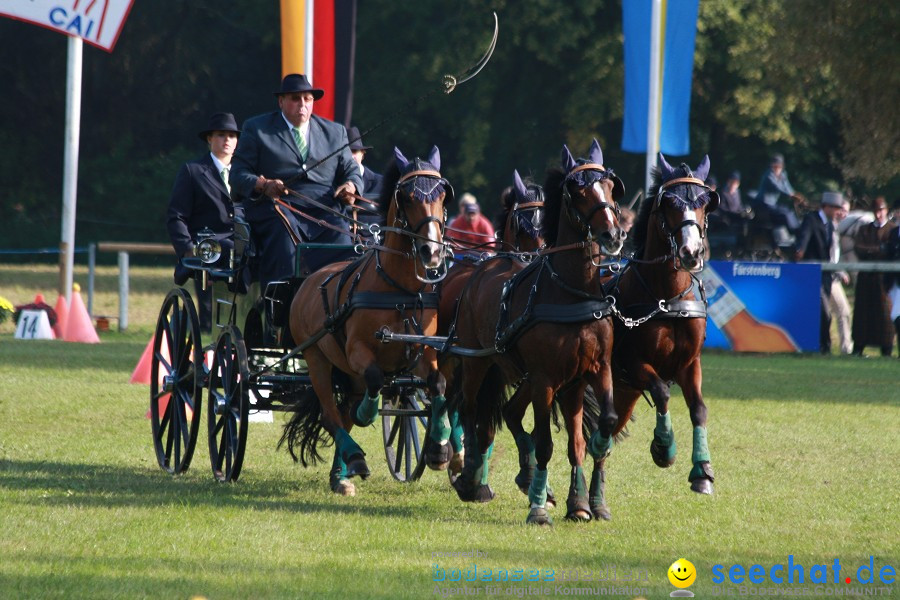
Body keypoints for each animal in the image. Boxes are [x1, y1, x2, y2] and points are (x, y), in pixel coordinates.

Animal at [282, 145, 450, 496]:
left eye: (443, 194)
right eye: (407, 197)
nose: (431, 252)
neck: (400, 290)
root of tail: (308, 278)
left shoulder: (423, 352)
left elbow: (438, 383)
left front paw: (440, 449)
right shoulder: (358, 351)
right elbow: (374, 378)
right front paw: (367, 415)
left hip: (346, 372)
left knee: (343, 414)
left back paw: (341, 474)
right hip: (316, 358)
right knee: (332, 415)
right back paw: (354, 456)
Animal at [450, 141, 624, 524]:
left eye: (609, 186)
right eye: (579, 191)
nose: (613, 234)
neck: (572, 292)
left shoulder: (594, 371)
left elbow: (593, 433)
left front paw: (589, 502)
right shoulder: (545, 378)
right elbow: (545, 443)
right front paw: (538, 509)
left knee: (509, 413)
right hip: (477, 361)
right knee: (470, 411)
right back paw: (471, 478)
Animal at [584, 154, 724, 520]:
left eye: (705, 202)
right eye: (670, 203)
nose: (691, 252)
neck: (666, 297)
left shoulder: (690, 364)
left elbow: (699, 409)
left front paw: (702, 472)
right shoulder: (634, 364)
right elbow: (661, 391)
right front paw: (664, 446)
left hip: (623, 392)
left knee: (604, 439)